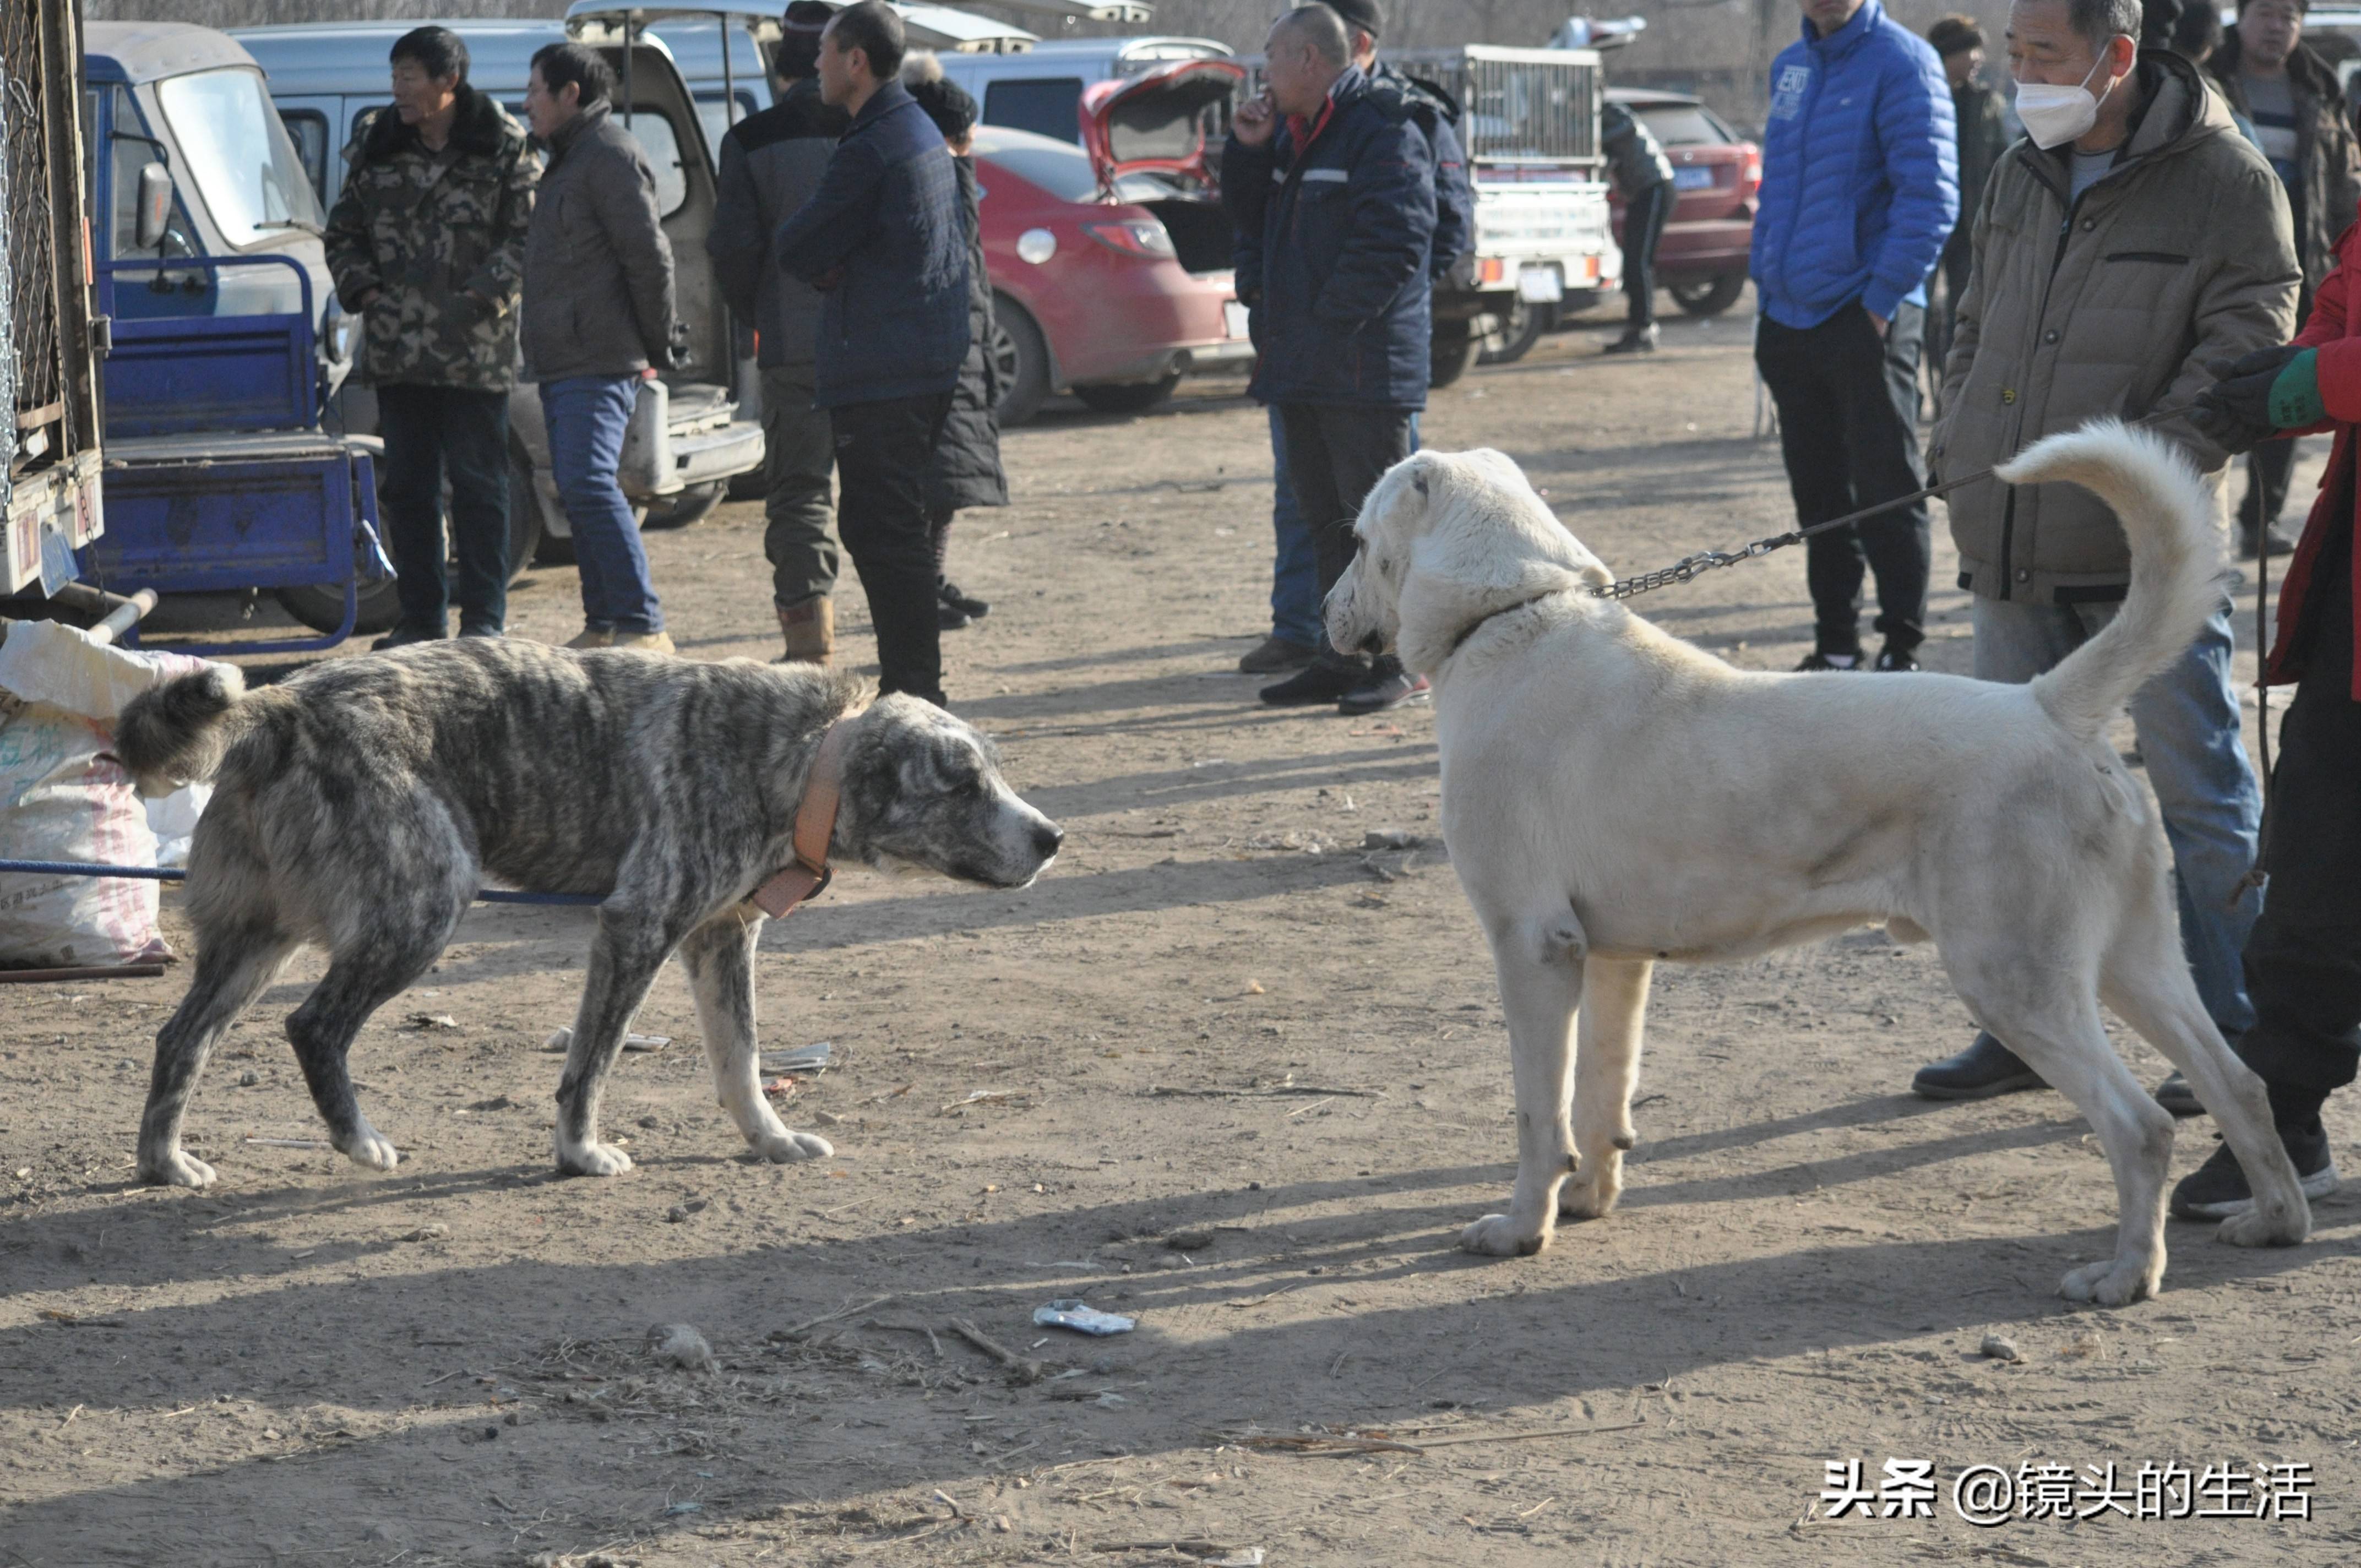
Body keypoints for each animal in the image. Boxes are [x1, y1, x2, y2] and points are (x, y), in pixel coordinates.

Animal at [1331, 422, 2304, 1303]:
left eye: (1356, 541)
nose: (1324, 616)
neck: (1514, 619)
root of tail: (2048, 706)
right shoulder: (1611, 959)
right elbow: (1604, 1094)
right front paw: (1589, 1201)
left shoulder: (1533, 948)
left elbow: (1542, 1111)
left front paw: (1521, 1228)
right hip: (2135, 963)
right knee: (2240, 1082)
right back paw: (2272, 1222)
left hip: (2015, 978)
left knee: (2141, 1127)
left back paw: (2125, 1276)